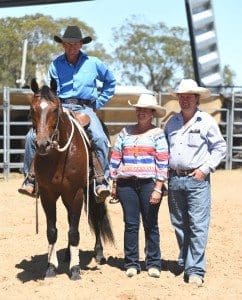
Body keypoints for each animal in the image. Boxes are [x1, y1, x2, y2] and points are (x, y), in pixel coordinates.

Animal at [29, 78, 114, 280]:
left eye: (55, 109)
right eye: (32, 109)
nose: (42, 144)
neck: (59, 157)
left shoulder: (76, 193)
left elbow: (75, 232)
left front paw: (75, 269)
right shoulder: (48, 195)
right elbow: (52, 231)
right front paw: (51, 268)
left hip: (91, 193)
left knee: (96, 217)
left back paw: (99, 253)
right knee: (69, 219)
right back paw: (68, 253)